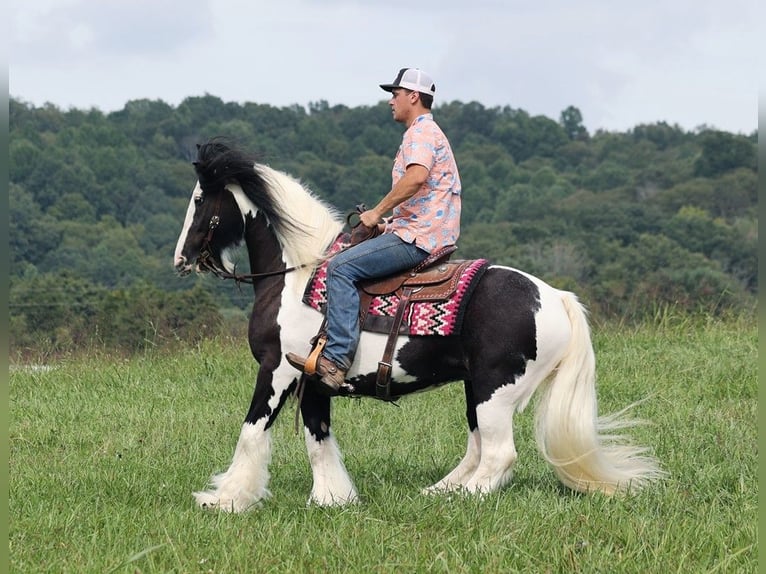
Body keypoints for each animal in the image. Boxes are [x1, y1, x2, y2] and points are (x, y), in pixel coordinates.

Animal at [174, 140, 664, 512]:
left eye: (199, 200)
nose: (181, 259)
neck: (297, 276)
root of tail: (557, 298)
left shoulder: (278, 370)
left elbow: (251, 431)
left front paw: (224, 499)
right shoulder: (312, 380)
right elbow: (318, 439)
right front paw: (333, 499)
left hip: (495, 390)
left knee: (499, 454)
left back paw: (463, 498)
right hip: (476, 388)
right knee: (478, 448)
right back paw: (439, 492)